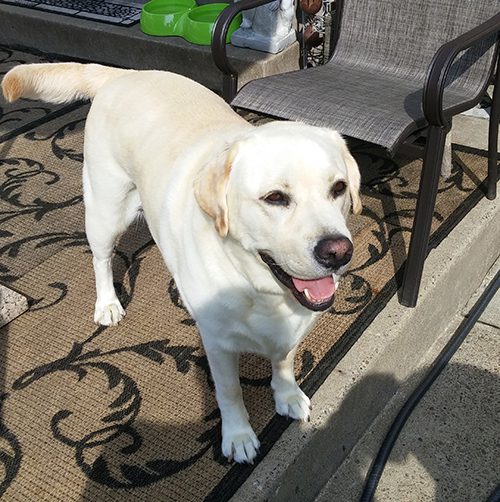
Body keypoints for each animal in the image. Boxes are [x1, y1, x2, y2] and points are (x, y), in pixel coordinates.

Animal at [1, 64, 362, 464]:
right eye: (275, 198)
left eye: (339, 188)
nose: (338, 252)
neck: (259, 286)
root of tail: (123, 74)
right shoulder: (218, 344)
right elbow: (230, 393)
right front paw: (238, 436)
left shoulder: (290, 332)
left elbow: (283, 362)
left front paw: (287, 396)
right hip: (105, 209)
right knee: (101, 257)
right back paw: (107, 303)